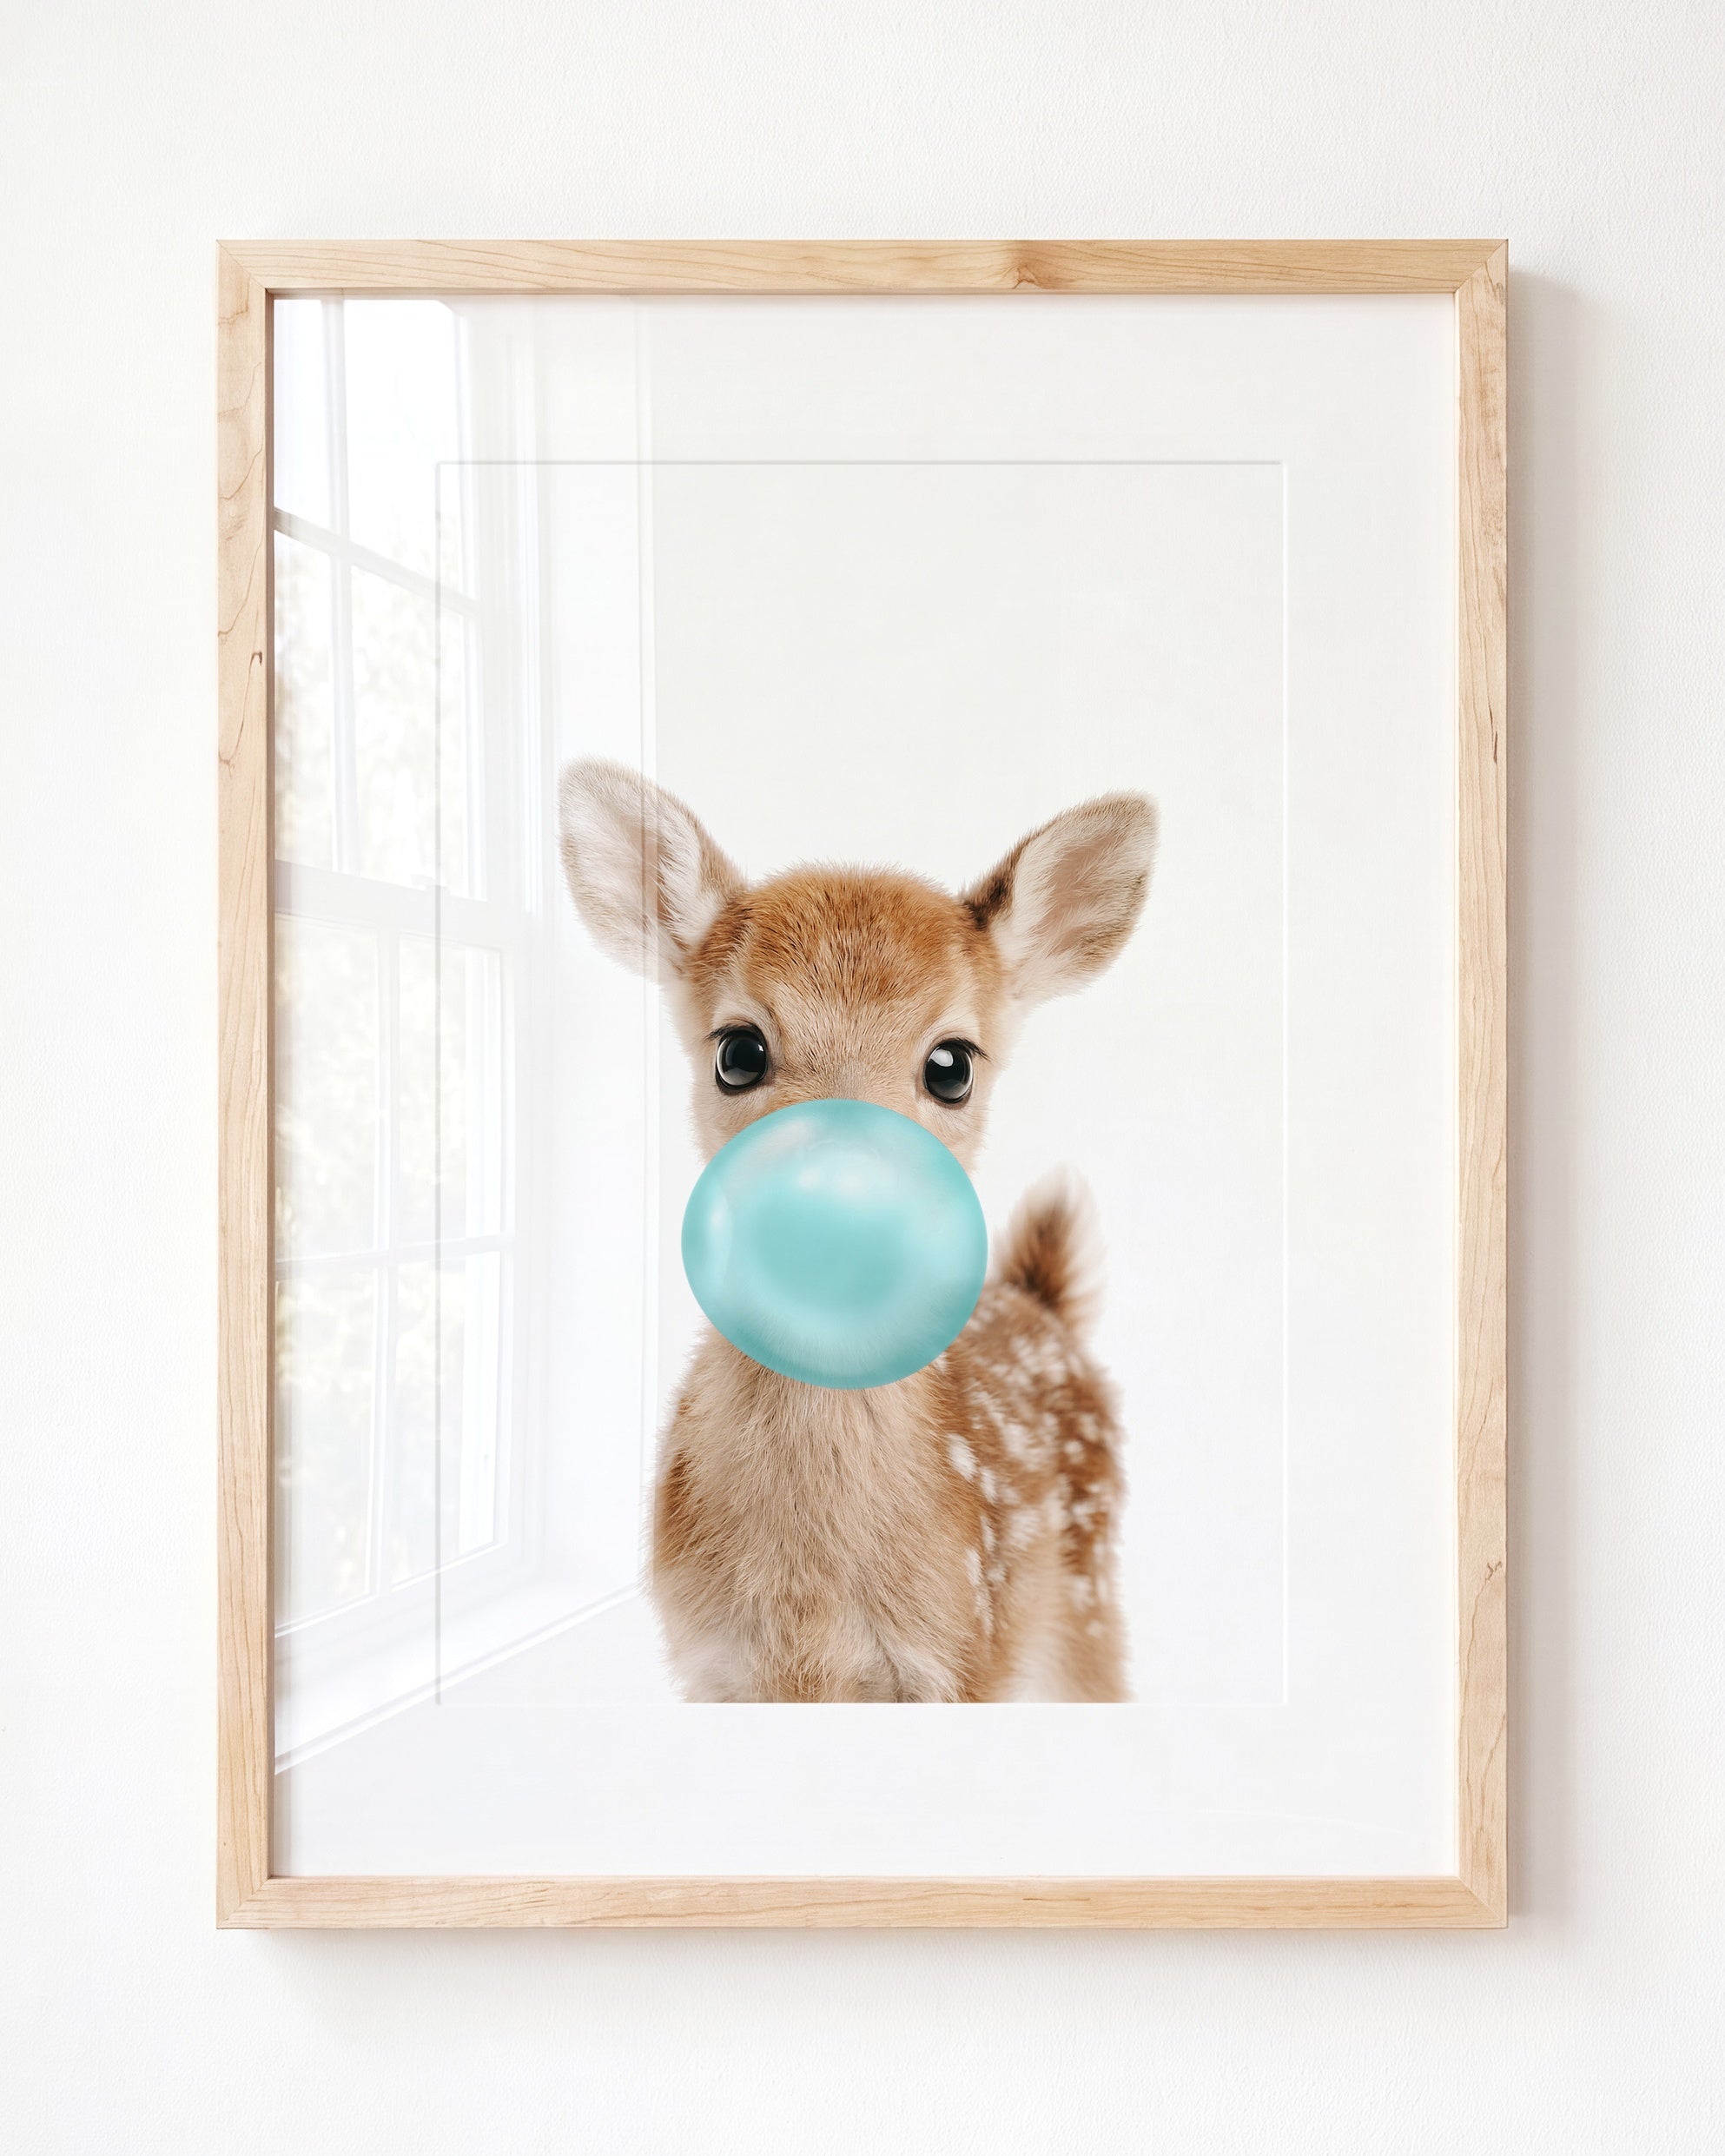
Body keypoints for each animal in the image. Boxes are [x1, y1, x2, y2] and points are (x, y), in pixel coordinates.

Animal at [558, 759, 1157, 1702]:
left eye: (952, 1065)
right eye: (738, 1052)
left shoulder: (962, 1655)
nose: (838, 1206)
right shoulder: (711, 1666)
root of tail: (1043, 1303)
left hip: (1086, 1606)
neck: (812, 1611)